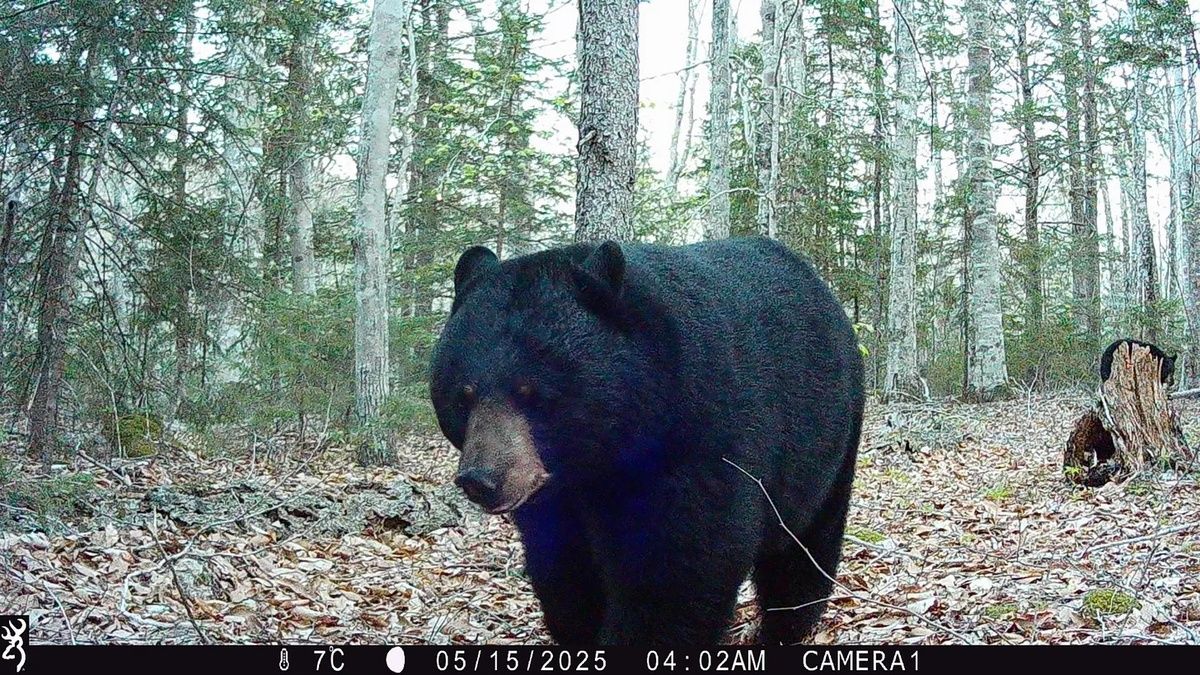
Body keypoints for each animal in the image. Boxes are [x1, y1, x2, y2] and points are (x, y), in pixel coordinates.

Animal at [429, 237, 865, 646]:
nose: (480, 479)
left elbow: (680, 567)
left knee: (804, 545)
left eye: (531, 393)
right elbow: (564, 567)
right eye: (463, 395)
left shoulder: (697, 440)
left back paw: (786, 626)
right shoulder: (557, 499)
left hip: (828, 442)